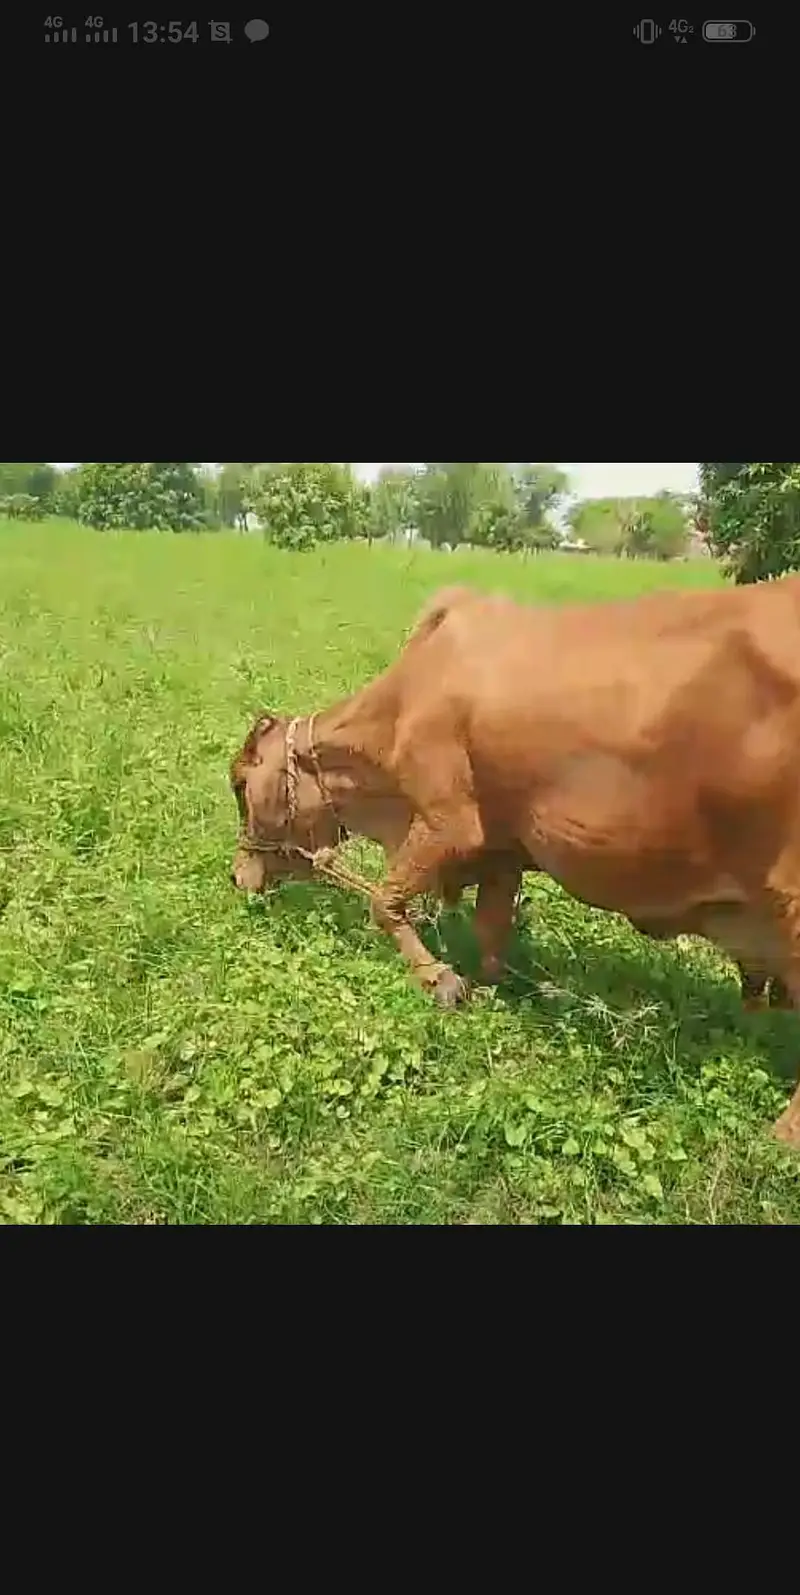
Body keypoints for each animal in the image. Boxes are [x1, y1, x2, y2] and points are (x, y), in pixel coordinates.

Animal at [230, 581, 800, 1148]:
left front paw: (441, 981)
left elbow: (384, 903)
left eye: (239, 784)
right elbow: (491, 929)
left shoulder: (448, 822)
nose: (238, 875)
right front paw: (488, 993)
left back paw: (783, 1133)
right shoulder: (502, 850)